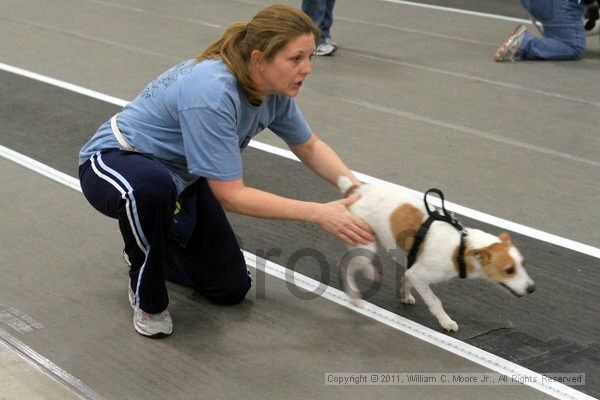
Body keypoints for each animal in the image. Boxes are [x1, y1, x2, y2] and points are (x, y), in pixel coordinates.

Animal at [336, 177, 536, 332]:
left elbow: (406, 280)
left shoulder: (411, 268)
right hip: (365, 244)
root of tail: (356, 189)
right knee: (348, 265)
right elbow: (434, 300)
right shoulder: (419, 275)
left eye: (523, 264)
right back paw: (356, 292)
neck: (461, 247)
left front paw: (405, 295)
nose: (532, 289)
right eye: (509, 270)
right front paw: (446, 321)